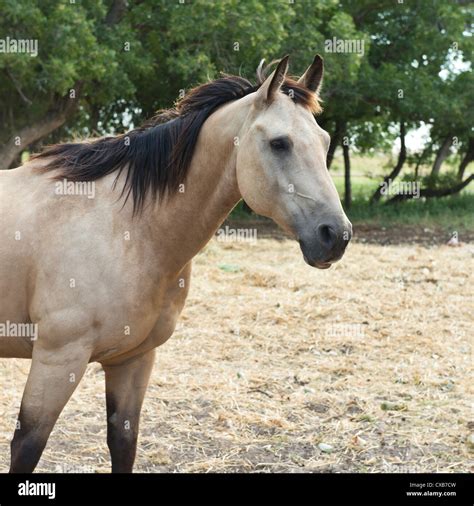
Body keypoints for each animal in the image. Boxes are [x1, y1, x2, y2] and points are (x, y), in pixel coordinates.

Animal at [0, 53, 352, 472]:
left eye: (325, 141)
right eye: (279, 143)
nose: (335, 234)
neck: (126, 229)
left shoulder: (134, 360)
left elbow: (123, 442)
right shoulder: (56, 360)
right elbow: (27, 447)